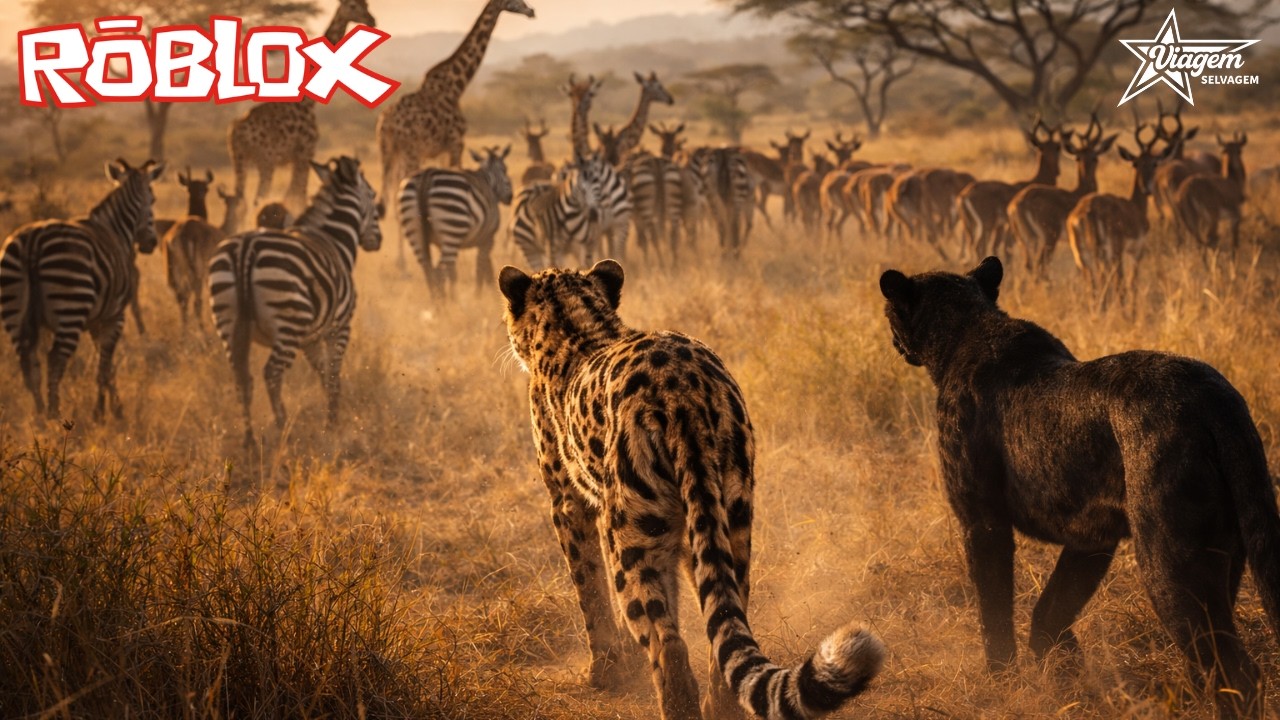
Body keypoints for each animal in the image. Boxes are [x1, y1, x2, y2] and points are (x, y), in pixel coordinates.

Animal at [498, 259, 884, 720]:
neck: (576, 322)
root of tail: (682, 388)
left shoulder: (569, 503)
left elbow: (590, 589)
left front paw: (606, 671)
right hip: (730, 516)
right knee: (729, 622)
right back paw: (720, 706)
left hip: (637, 535)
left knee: (669, 645)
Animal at [879, 255, 1280, 719]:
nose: (893, 341)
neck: (964, 329)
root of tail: (1218, 399)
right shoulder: (1092, 537)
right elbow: (1053, 606)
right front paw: (1066, 674)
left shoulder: (982, 521)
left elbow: (993, 605)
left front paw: (1002, 681)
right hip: (1223, 557)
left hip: (1170, 562)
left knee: (1236, 672)